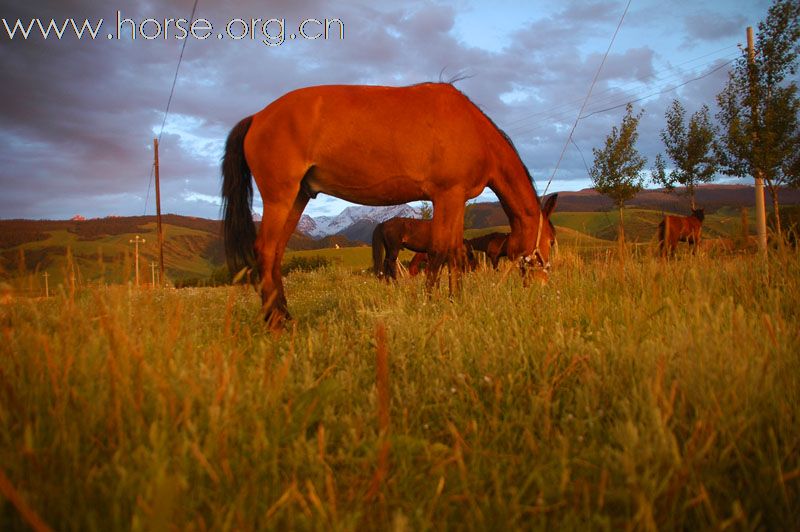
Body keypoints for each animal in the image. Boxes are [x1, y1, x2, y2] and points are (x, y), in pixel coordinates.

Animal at [222, 82, 560, 326]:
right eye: (550, 240)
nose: (543, 288)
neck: (475, 132)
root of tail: (257, 117)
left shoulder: (456, 199)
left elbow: (454, 253)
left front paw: (456, 301)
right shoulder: (448, 196)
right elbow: (440, 252)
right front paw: (430, 303)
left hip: (297, 198)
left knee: (276, 255)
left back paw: (286, 317)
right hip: (280, 197)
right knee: (266, 251)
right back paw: (275, 324)